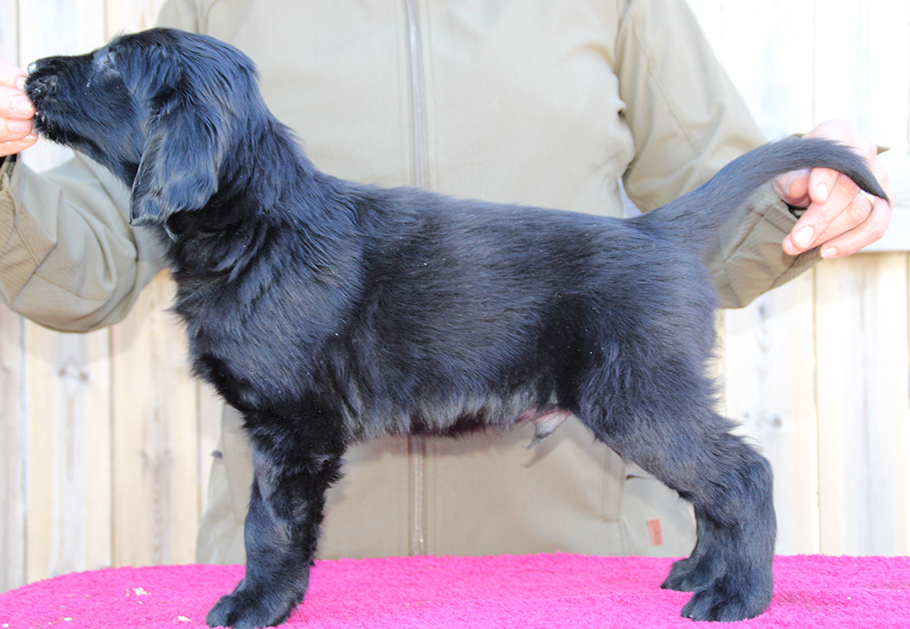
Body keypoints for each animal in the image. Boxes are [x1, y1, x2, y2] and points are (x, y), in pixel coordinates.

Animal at [25, 28, 888, 629]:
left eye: (111, 63)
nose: (31, 69)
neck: (258, 226)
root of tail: (655, 230)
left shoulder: (293, 428)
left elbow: (267, 524)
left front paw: (255, 604)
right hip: (652, 400)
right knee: (715, 486)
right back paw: (701, 572)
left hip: (640, 398)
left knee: (744, 475)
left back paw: (740, 595)